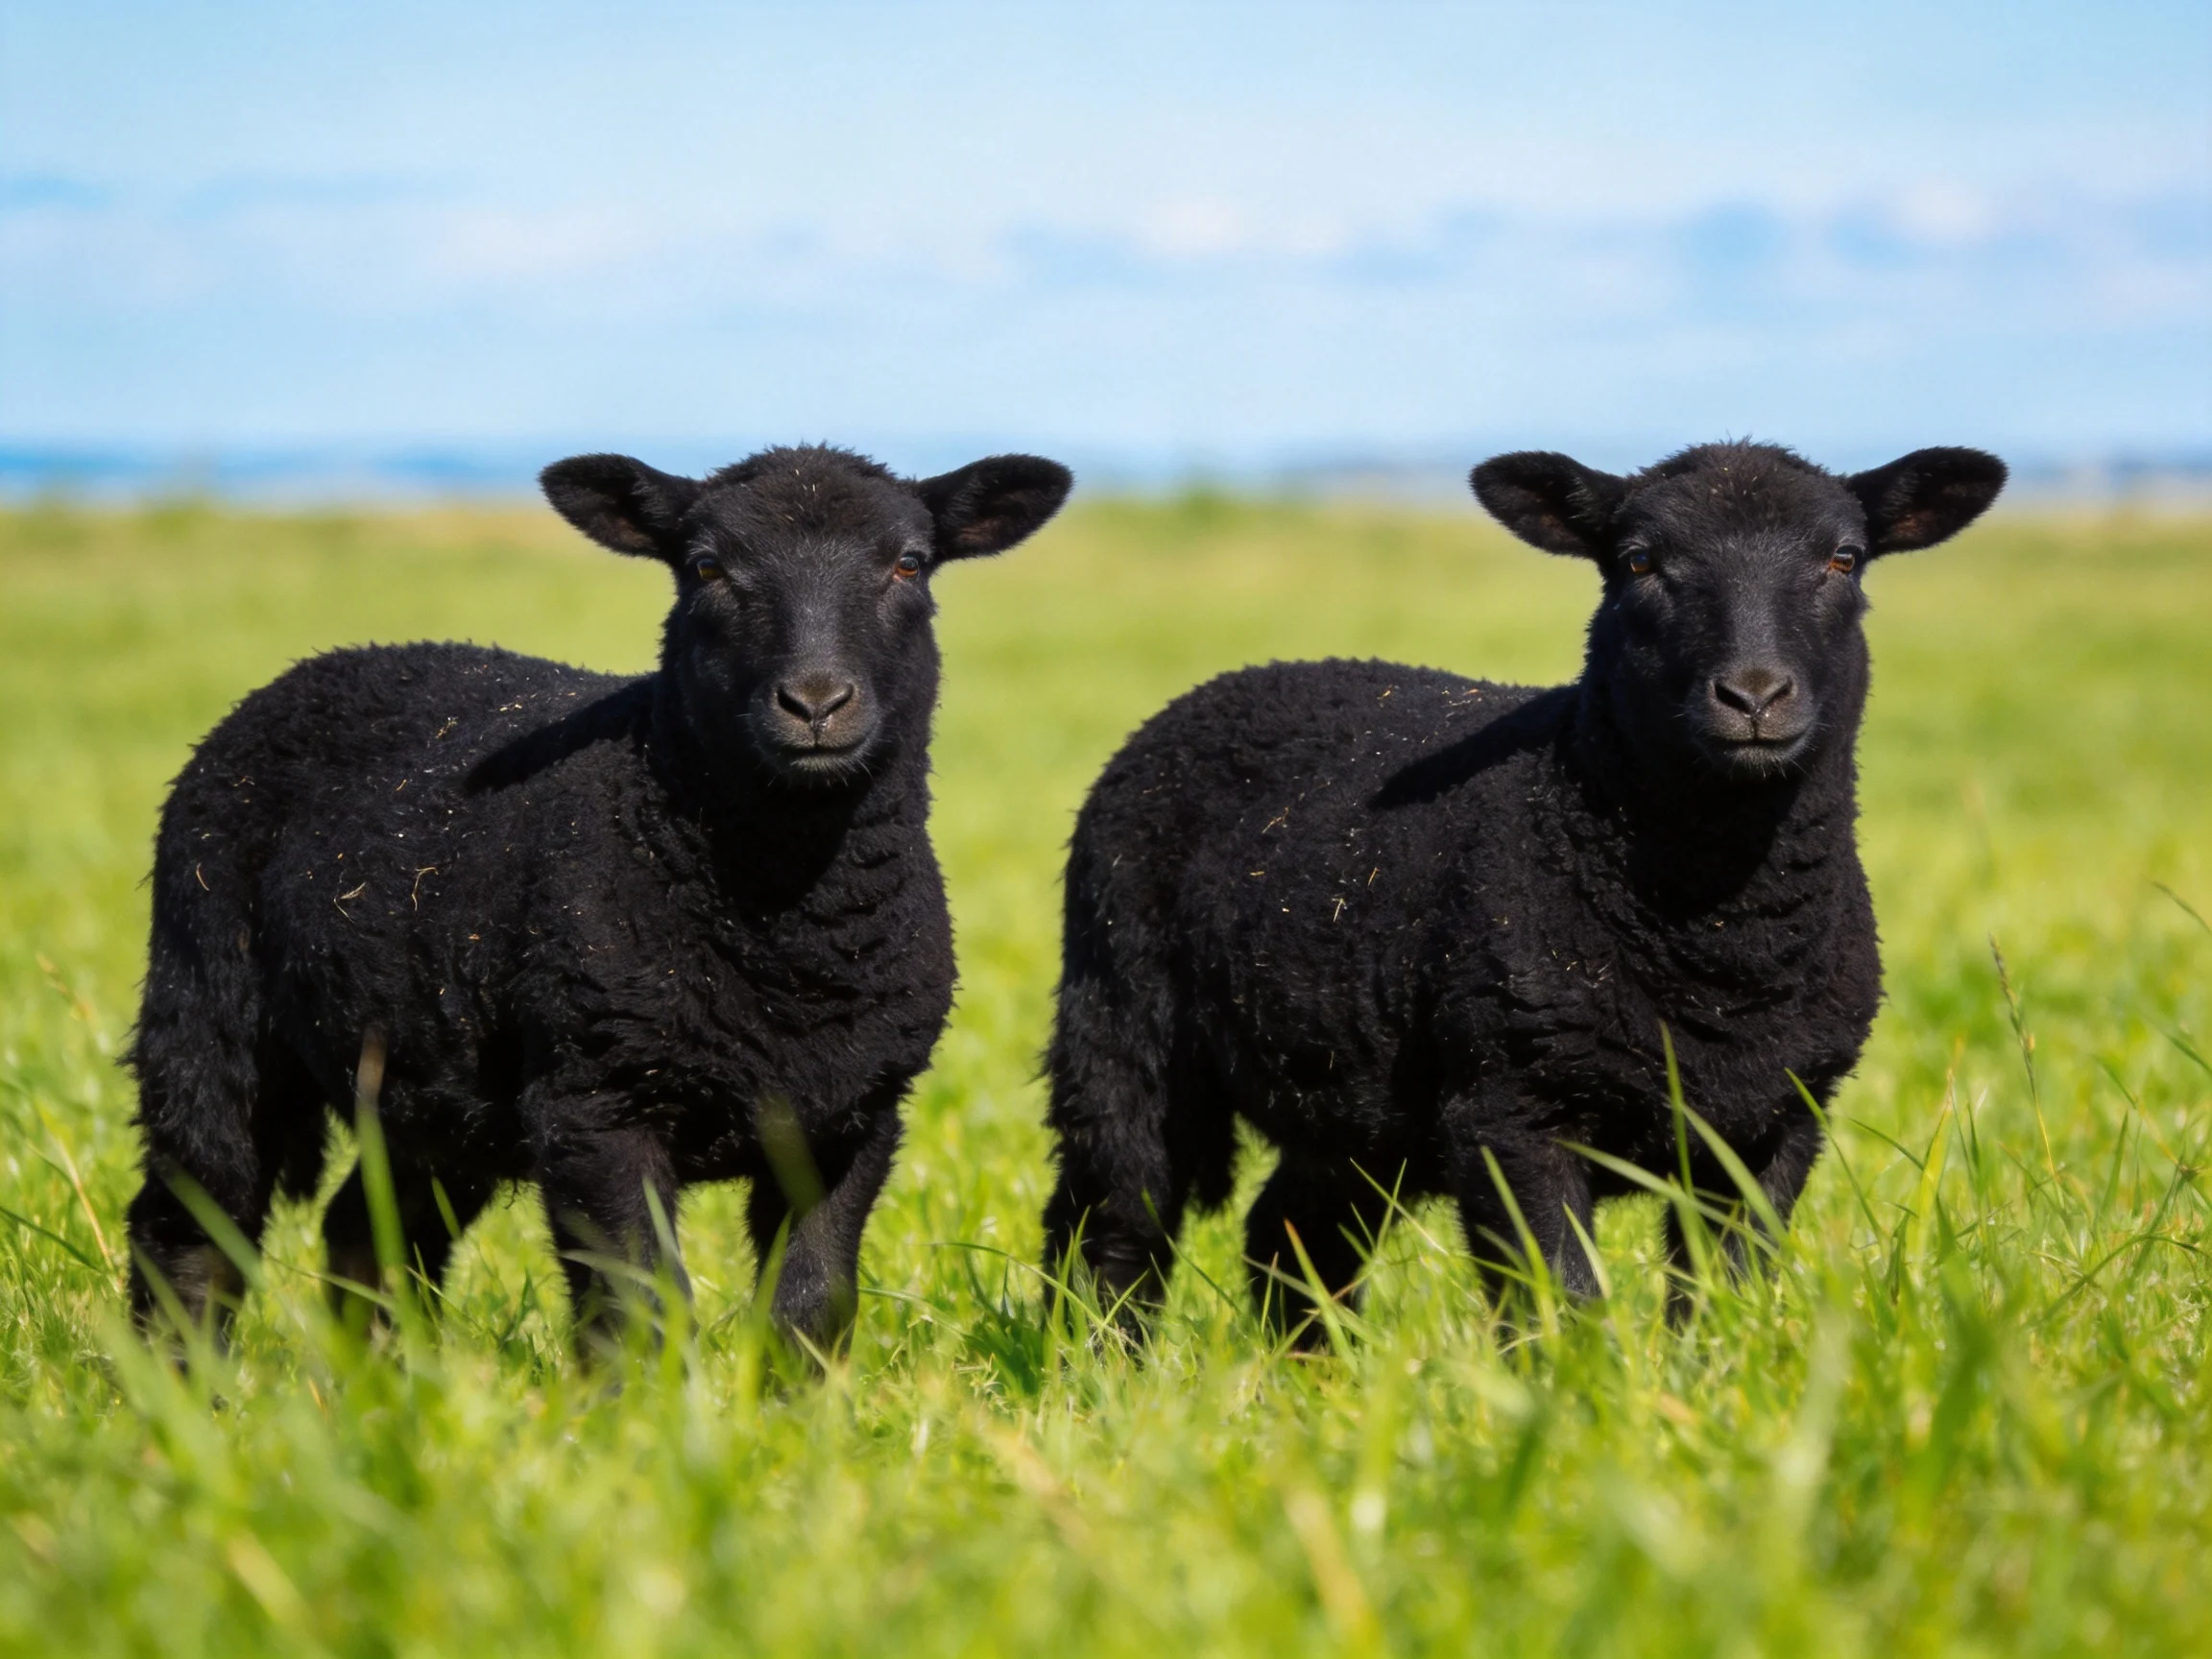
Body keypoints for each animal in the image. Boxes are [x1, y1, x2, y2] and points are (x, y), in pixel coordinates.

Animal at [125, 443, 1072, 1351]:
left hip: (428, 1081)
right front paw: (643, 1409)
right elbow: (639, 1306)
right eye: (705, 565)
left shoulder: (853, 1116)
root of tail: (319, 665)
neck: (789, 941)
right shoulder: (595, 1106)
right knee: (191, 1224)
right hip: (206, 1005)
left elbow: (810, 1305)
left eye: (909, 562)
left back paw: (388, 1383)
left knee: (372, 1230)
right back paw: (180, 1385)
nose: (815, 702)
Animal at [1041, 440, 2005, 1339]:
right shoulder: (1511, 1110)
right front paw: (1578, 1397)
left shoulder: (1775, 1122)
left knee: (1294, 1233)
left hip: (1353, 1093)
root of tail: (1238, 679)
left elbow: (1721, 1301)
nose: (1755, 695)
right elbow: (1562, 1300)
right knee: (1114, 1220)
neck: (1721, 947)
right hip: (1119, 1010)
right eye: (1639, 561)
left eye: (1844, 558)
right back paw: (1100, 1373)